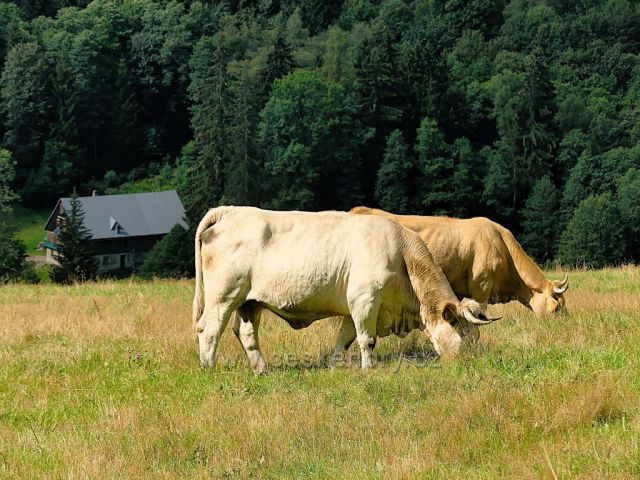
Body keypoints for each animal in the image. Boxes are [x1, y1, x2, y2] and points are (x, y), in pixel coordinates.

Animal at [192, 204, 498, 374]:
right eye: (462, 331)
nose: (471, 362)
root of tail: (230, 211)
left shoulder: (357, 308)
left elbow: (345, 339)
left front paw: (336, 365)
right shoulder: (365, 299)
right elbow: (367, 340)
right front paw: (369, 368)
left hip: (249, 302)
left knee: (246, 334)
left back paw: (261, 370)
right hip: (223, 297)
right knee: (209, 330)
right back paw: (208, 368)